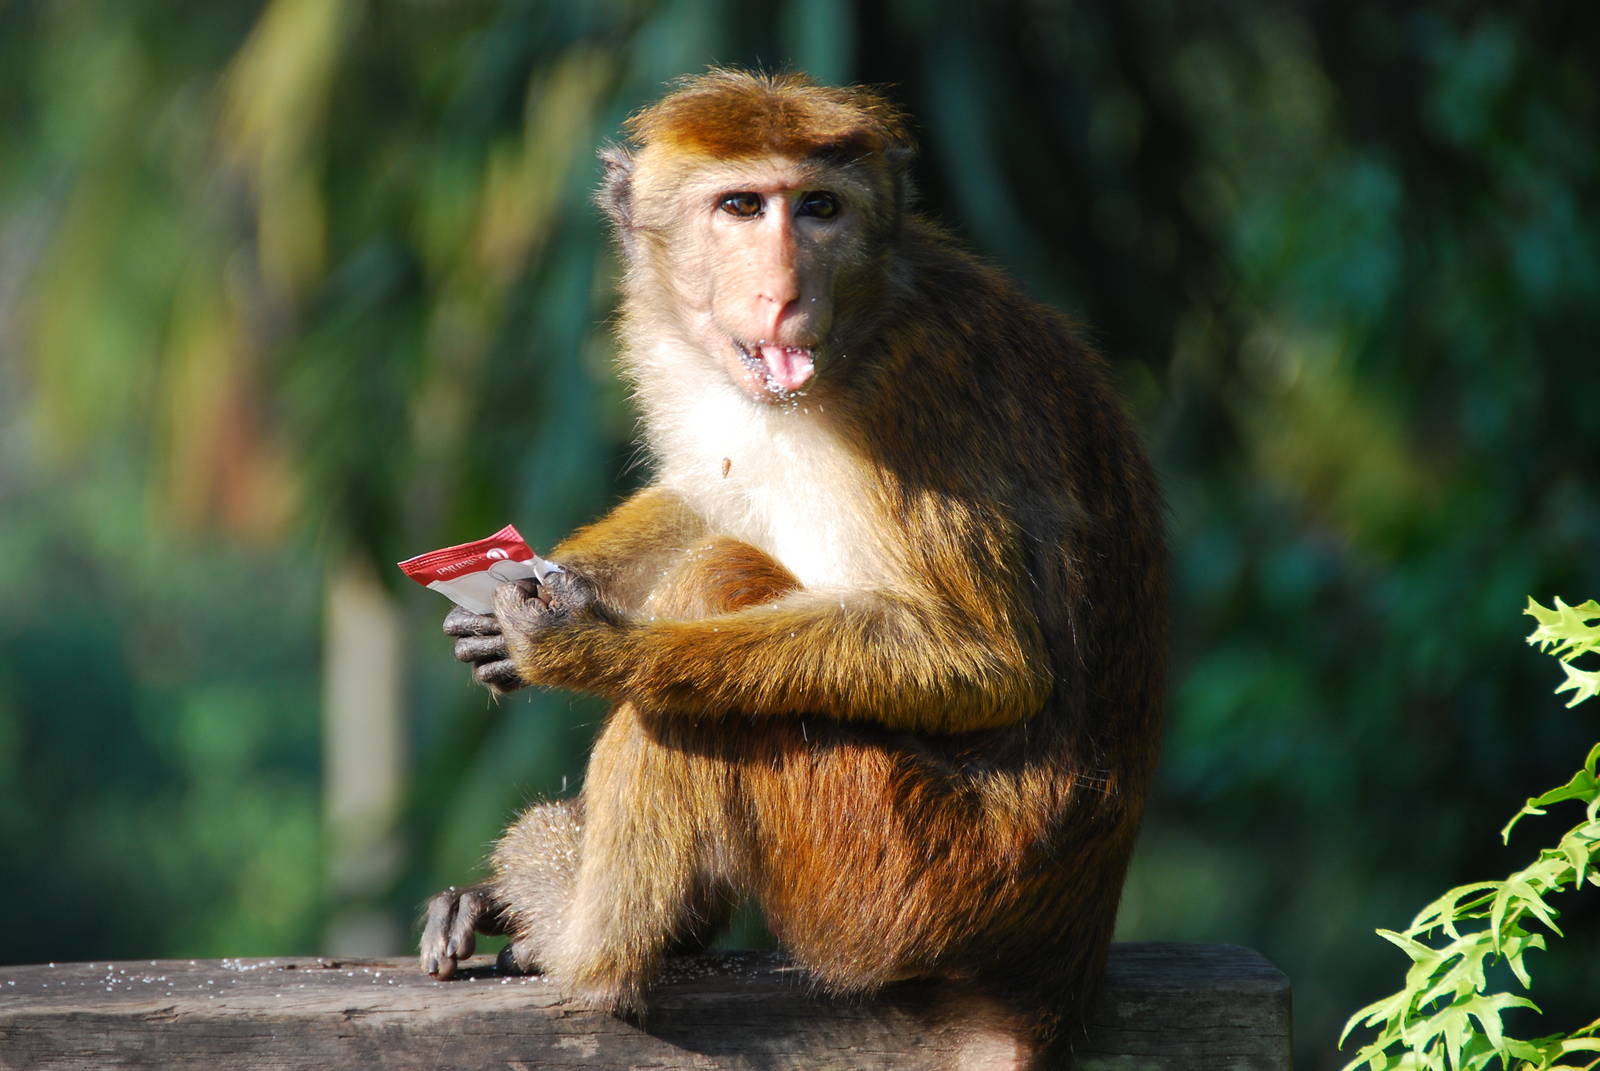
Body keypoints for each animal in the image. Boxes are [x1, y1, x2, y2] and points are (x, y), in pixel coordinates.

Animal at [419, 68, 1166, 1066]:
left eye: (818, 208)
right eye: (742, 207)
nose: (781, 291)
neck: (859, 329)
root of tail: (1056, 972)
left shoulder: (911, 397)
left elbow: (989, 662)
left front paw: (590, 646)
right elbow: (709, 495)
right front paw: (501, 612)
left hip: (902, 870)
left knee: (707, 632)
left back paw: (586, 950)